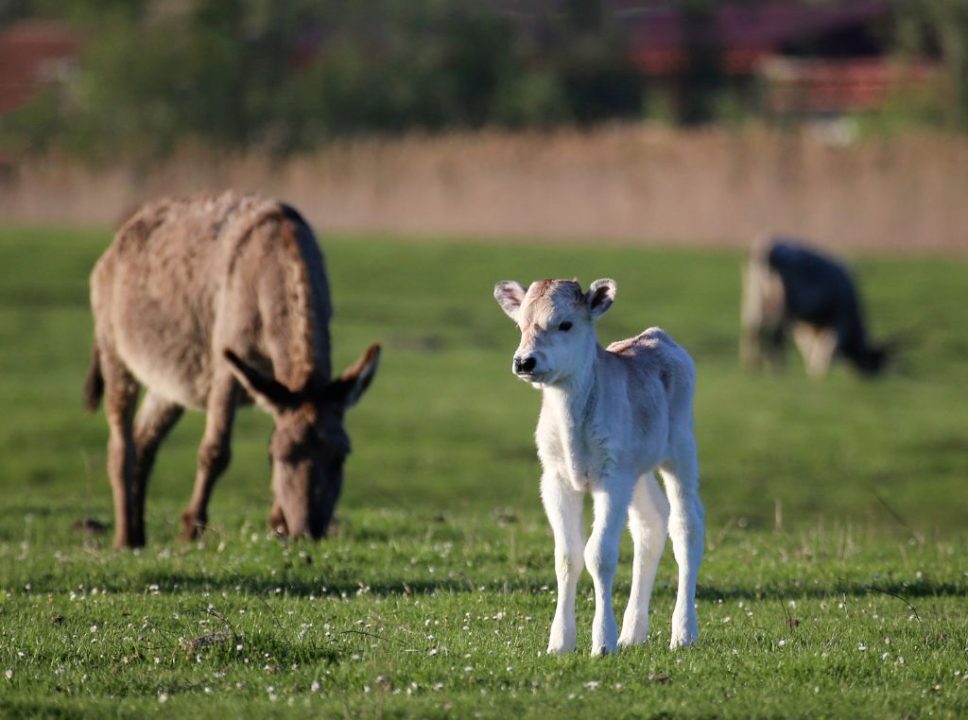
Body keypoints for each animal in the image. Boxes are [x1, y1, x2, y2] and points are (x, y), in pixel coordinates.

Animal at [84, 191, 378, 544]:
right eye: (278, 456)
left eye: (341, 455)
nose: (307, 532)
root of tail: (114, 247)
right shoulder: (227, 367)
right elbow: (215, 450)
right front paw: (191, 528)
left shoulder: (275, 384)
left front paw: (276, 522)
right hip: (114, 350)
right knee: (120, 445)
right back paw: (124, 538)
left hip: (169, 384)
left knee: (144, 440)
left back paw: (140, 535)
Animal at [492, 276, 704, 652]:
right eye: (520, 325)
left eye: (566, 324)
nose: (524, 362)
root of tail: (658, 336)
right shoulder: (556, 479)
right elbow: (567, 556)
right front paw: (560, 642)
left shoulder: (612, 477)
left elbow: (600, 554)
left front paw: (602, 642)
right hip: (637, 470)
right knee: (652, 523)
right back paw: (633, 633)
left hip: (680, 448)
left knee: (686, 526)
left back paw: (683, 633)